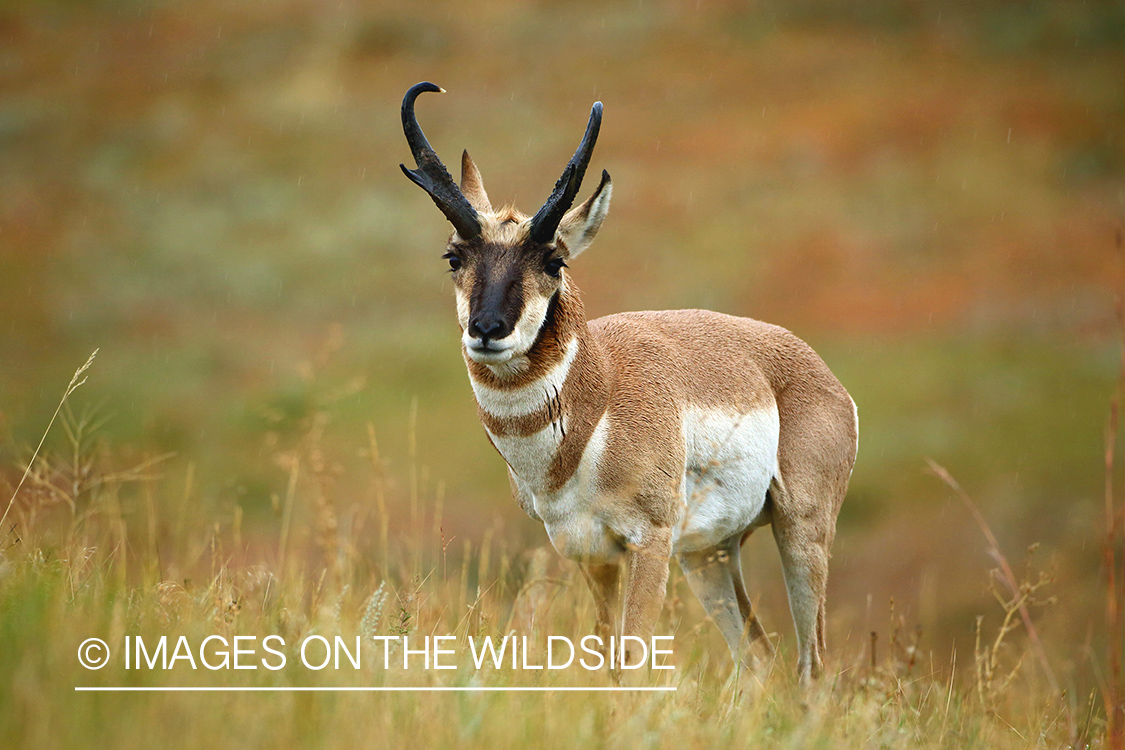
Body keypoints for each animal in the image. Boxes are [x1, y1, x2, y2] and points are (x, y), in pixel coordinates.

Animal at [400, 80, 855, 679]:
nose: (487, 329)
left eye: (554, 261)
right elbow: (607, 661)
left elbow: (635, 660)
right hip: (708, 555)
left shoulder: (648, 545)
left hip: (800, 532)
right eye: (454, 257)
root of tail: (817, 370)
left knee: (813, 663)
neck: (599, 395)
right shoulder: (593, 556)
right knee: (758, 658)